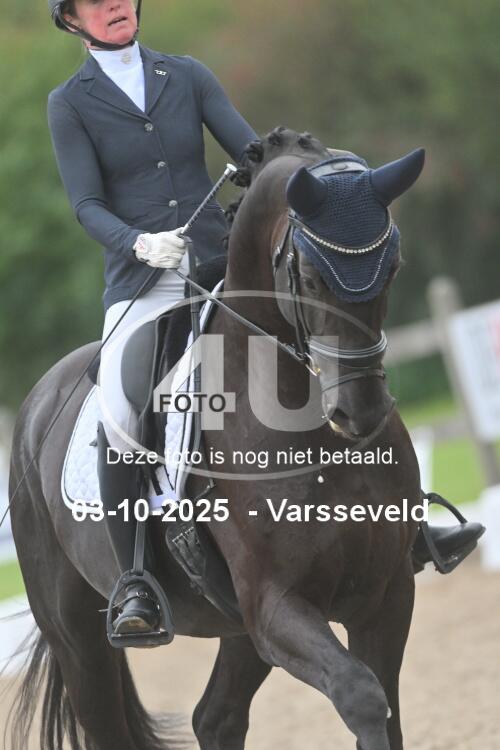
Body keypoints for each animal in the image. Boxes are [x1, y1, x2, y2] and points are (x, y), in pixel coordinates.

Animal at [7, 127, 423, 750]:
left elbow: (387, 710)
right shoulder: (275, 605)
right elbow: (363, 697)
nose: (360, 413)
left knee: (216, 716)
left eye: (393, 264)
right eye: (308, 276)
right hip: (78, 638)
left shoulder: (385, 594)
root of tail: (37, 402)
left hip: (235, 628)